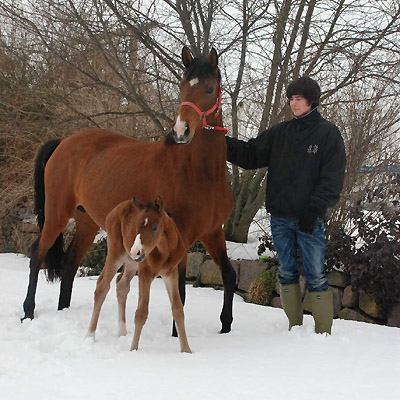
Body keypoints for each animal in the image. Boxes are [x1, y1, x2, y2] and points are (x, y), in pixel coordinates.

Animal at [86, 197, 192, 354]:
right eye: (136, 226)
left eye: (155, 227)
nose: (136, 251)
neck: (165, 250)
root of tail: (115, 209)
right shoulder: (145, 272)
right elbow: (141, 312)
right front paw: (133, 350)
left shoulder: (170, 272)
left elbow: (178, 309)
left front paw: (186, 350)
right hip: (116, 255)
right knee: (102, 286)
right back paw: (89, 336)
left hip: (131, 263)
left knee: (122, 285)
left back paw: (122, 332)